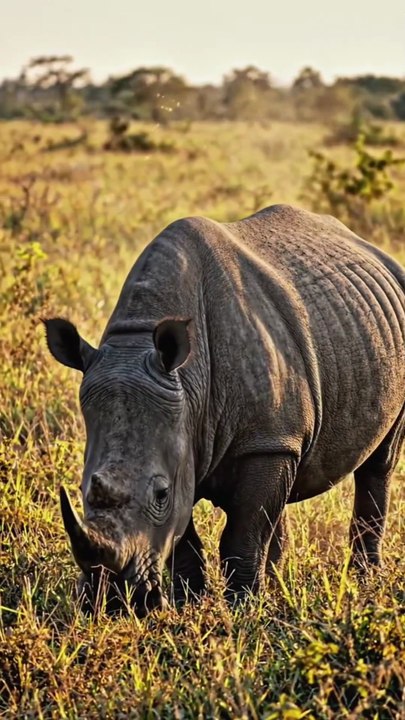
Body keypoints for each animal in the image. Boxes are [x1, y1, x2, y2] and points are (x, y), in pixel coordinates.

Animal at [44, 204, 405, 616]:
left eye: (160, 494)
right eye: (83, 489)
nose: (113, 601)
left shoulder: (261, 442)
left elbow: (241, 535)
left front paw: (242, 609)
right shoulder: (190, 436)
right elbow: (185, 539)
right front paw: (188, 607)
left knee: (378, 464)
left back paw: (364, 581)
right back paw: (278, 586)